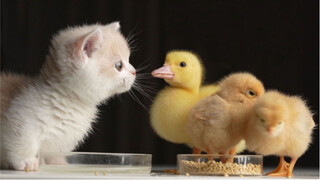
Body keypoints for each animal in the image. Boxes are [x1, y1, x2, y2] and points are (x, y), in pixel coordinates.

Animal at [0, 21, 136, 171]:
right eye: (119, 65)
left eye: (129, 60)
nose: (134, 71)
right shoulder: (20, 118)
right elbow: (22, 141)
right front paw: (26, 161)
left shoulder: (60, 142)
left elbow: (54, 154)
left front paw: (59, 163)